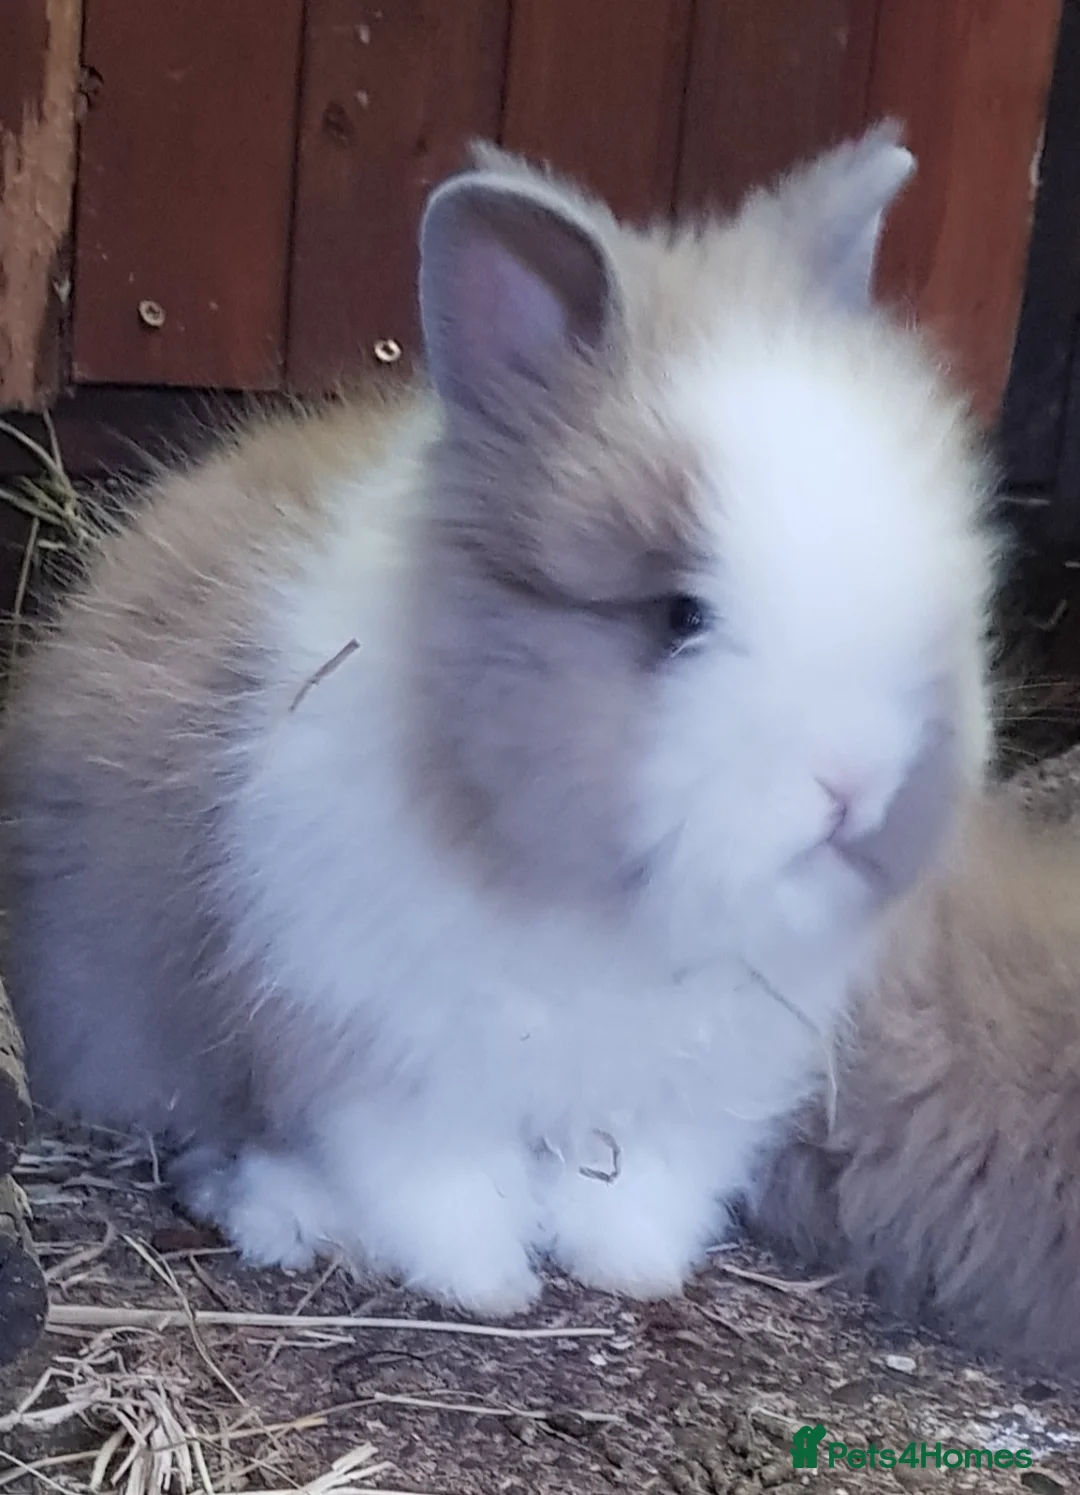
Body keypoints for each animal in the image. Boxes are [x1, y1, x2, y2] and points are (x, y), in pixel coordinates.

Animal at [0, 122, 999, 1316]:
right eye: (680, 614)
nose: (858, 788)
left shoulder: (690, 1093)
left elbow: (638, 1183)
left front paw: (631, 1267)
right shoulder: (386, 1055)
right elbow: (441, 1181)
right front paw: (486, 1284)